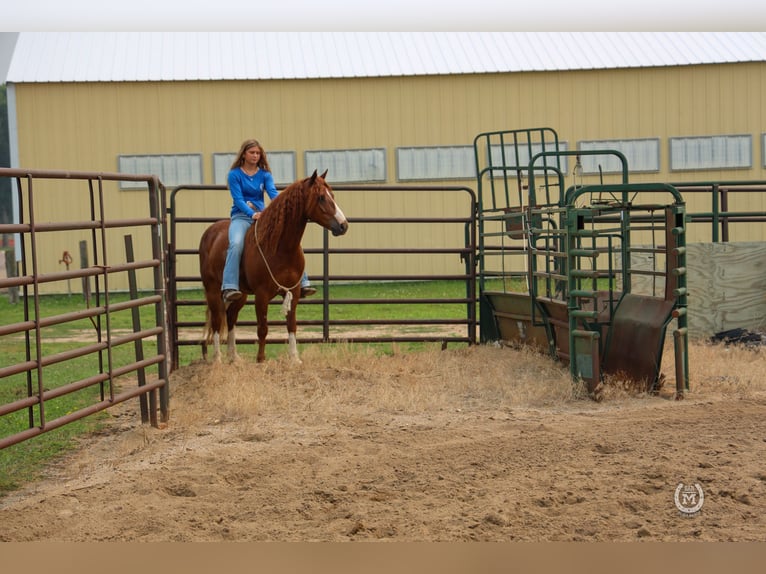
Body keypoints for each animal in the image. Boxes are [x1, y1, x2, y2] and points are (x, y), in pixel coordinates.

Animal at [201, 169, 352, 362]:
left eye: (332, 195)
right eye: (321, 198)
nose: (343, 225)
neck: (278, 247)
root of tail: (210, 233)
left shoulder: (293, 292)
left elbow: (291, 325)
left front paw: (295, 359)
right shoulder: (261, 295)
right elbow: (262, 328)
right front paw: (260, 360)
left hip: (240, 295)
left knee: (230, 317)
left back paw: (234, 358)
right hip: (213, 290)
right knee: (216, 321)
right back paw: (218, 359)